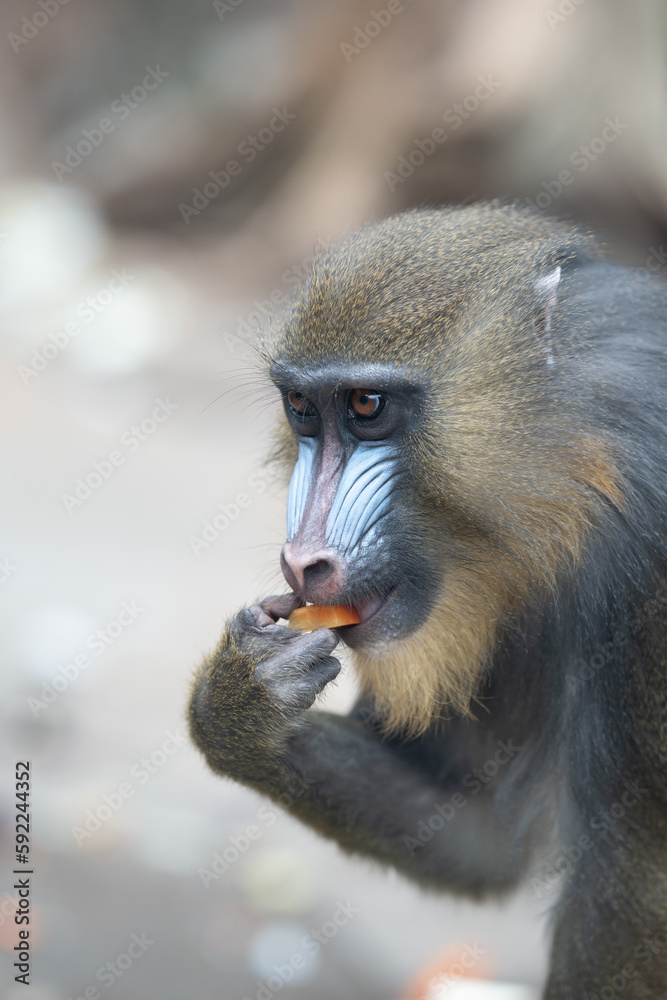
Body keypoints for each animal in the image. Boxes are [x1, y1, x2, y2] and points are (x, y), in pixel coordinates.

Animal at [188, 202, 667, 998]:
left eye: (367, 404)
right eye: (301, 407)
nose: (303, 561)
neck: (584, 469)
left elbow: (639, 880)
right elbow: (479, 835)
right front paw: (239, 700)